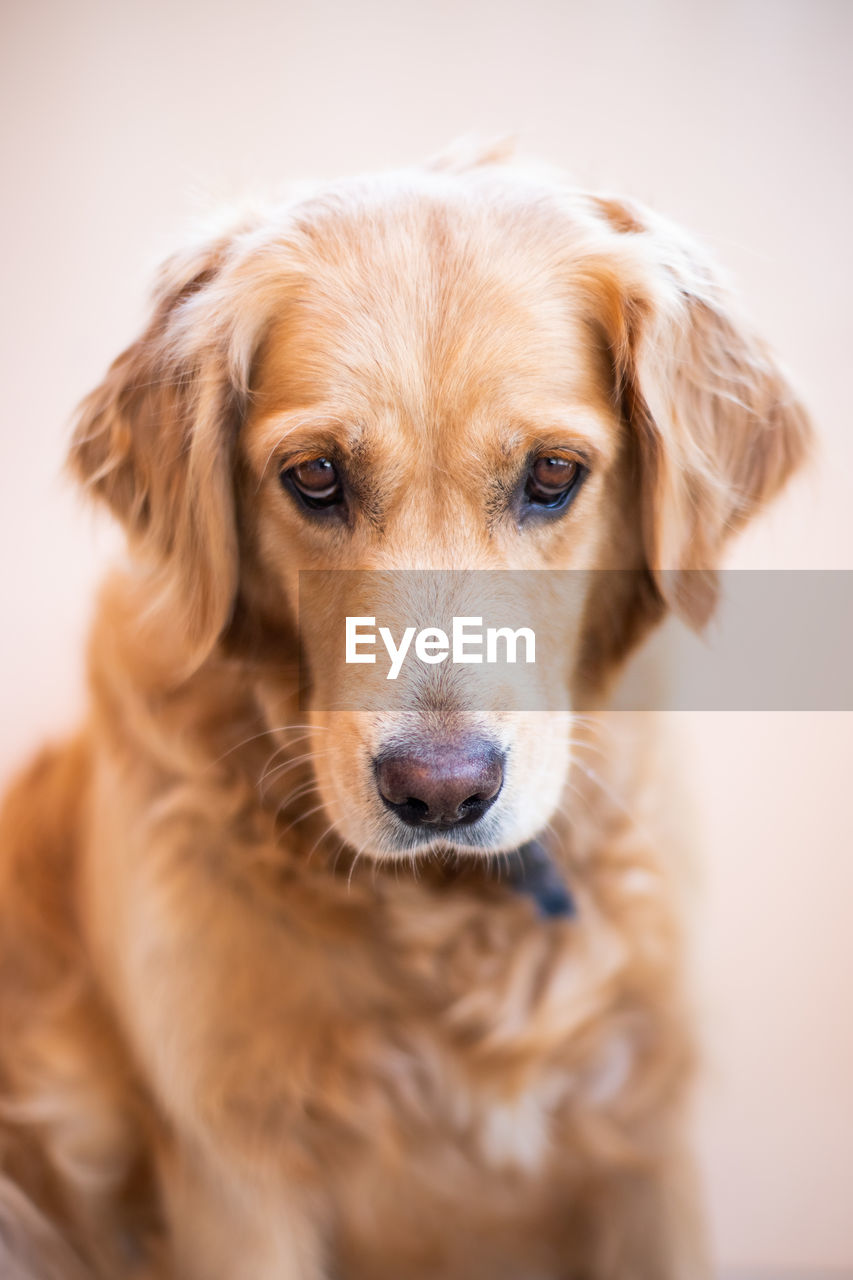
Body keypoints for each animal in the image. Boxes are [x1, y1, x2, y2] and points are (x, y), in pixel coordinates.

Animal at [0, 152, 809, 1280]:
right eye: (315, 475)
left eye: (552, 474)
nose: (441, 793)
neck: (452, 916)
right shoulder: (235, 1172)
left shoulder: (646, 1141)